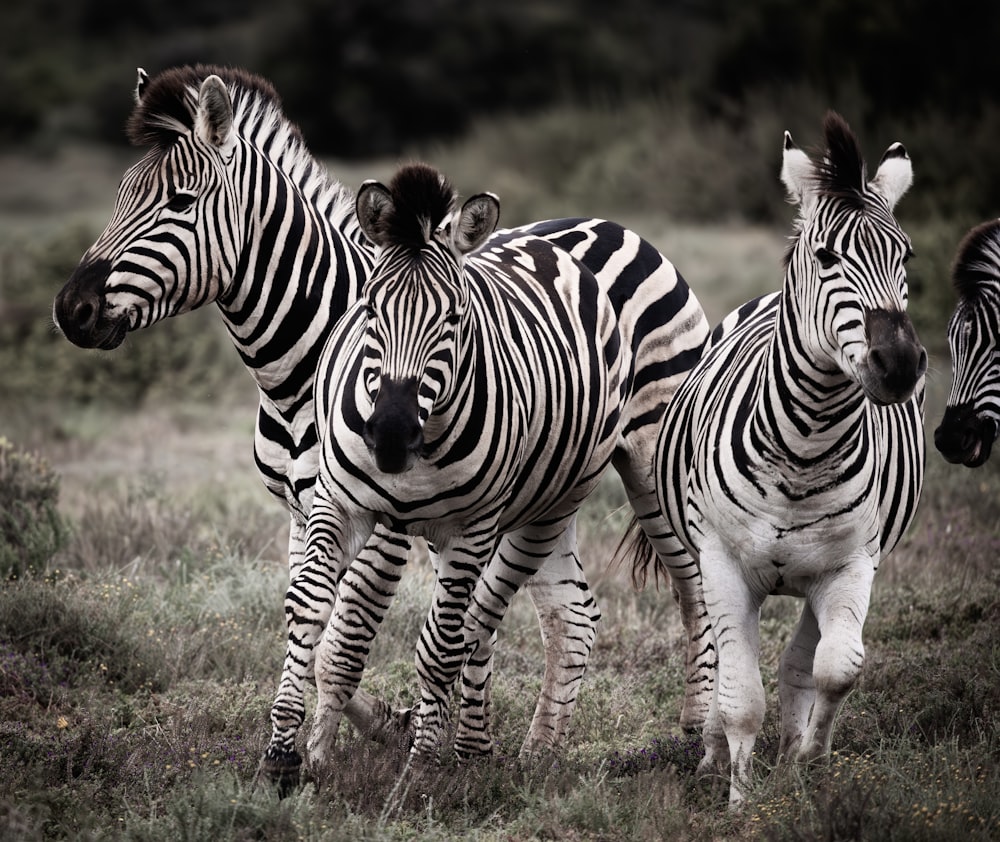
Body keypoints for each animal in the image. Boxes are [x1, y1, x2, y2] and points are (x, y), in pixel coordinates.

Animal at [628, 111, 924, 800]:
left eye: (906, 255)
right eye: (825, 257)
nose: (898, 365)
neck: (805, 447)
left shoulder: (854, 564)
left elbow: (837, 670)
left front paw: (807, 764)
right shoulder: (722, 565)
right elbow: (739, 696)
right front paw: (740, 797)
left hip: (830, 574)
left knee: (801, 661)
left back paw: (793, 752)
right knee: (726, 666)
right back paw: (712, 756)